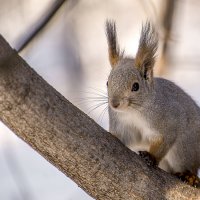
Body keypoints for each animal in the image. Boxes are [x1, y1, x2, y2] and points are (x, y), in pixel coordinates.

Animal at [105, 19, 199, 188]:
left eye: (136, 86)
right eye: (107, 82)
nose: (114, 104)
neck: (133, 112)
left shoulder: (168, 122)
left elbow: (164, 140)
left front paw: (151, 157)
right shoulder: (123, 125)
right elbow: (127, 138)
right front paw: (112, 135)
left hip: (185, 150)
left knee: (189, 166)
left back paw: (190, 176)